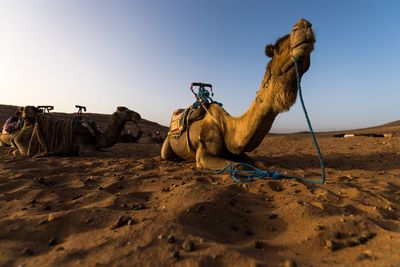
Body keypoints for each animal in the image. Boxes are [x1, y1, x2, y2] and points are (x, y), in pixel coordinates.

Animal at [162, 18, 316, 170]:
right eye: (277, 47)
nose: (303, 24)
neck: (228, 129)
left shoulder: (239, 153)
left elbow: (255, 163)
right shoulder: (203, 155)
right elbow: (240, 166)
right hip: (167, 144)